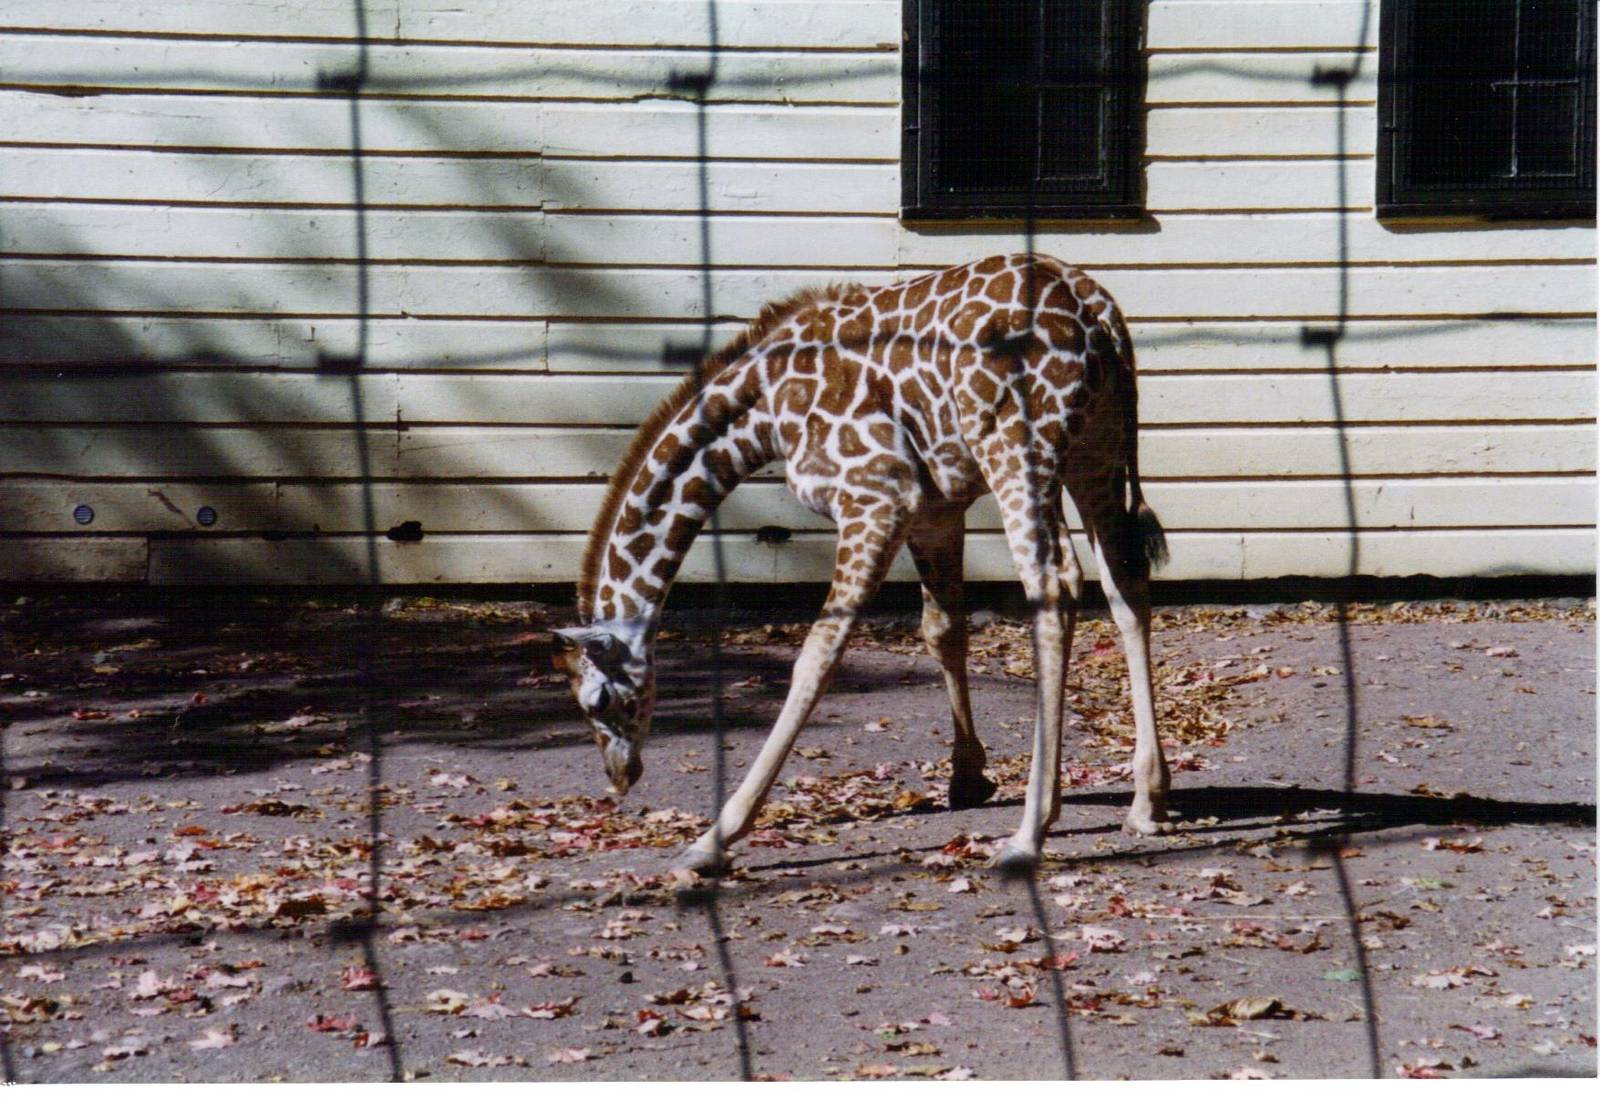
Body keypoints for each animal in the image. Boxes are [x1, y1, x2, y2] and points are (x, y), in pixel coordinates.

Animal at [553, 253, 1172, 874]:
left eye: (597, 700)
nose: (620, 777)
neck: (766, 409)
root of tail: (1098, 312)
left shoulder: (874, 497)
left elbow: (817, 656)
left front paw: (715, 838)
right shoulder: (935, 510)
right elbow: (942, 631)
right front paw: (968, 779)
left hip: (1019, 451)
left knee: (1054, 584)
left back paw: (1030, 832)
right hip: (1095, 450)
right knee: (1123, 581)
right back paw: (1146, 800)